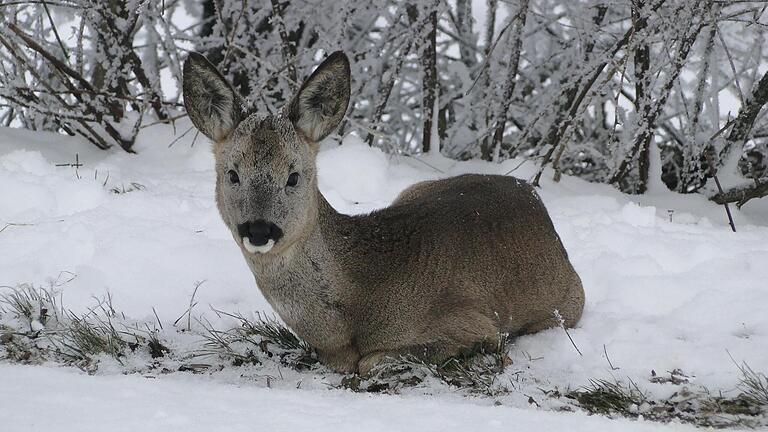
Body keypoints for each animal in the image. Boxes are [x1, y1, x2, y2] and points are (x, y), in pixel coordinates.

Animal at [184, 50, 584, 374]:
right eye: (232, 174)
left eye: (293, 176)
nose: (258, 230)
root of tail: (529, 192)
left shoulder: (476, 324)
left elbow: (371, 361)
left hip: (567, 305)